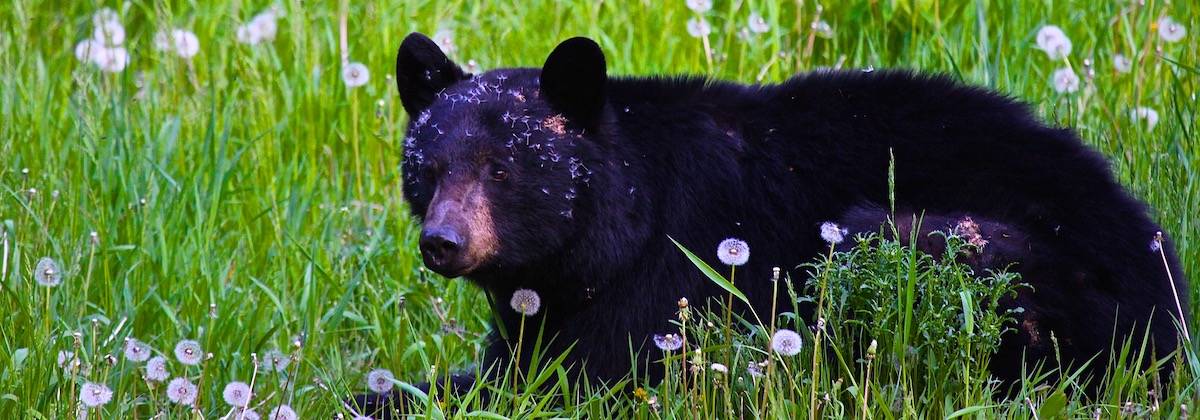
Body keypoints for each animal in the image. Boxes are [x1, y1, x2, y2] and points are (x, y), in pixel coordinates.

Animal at [350, 33, 1185, 417]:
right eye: (428, 169)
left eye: (502, 170)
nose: (444, 243)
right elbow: (520, 361)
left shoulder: (667, 274)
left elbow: (584, 378)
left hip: (986, 262)